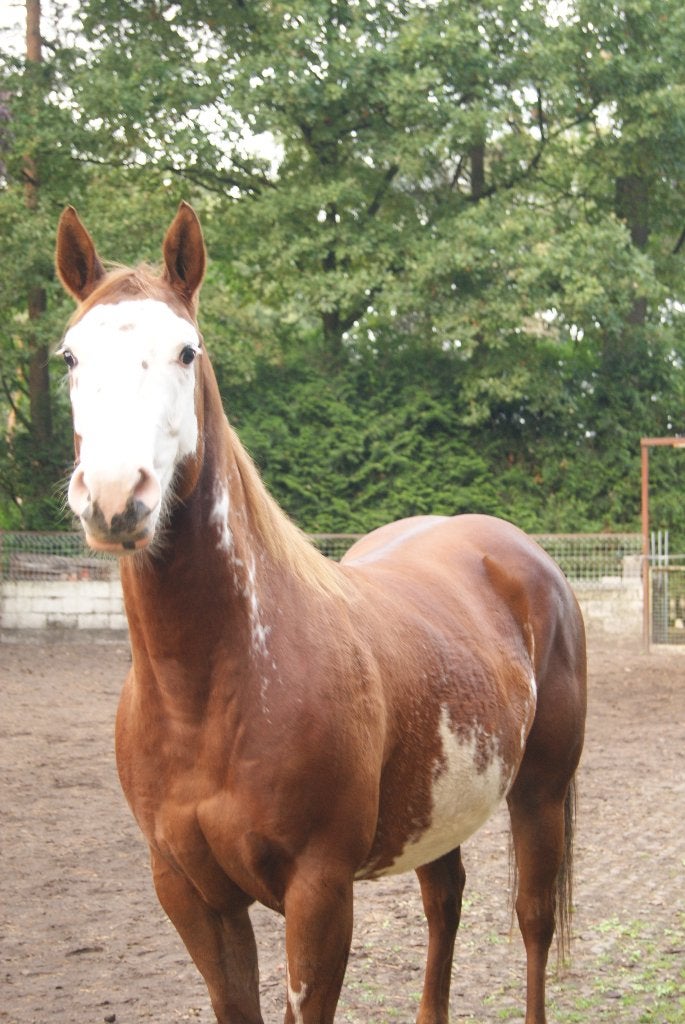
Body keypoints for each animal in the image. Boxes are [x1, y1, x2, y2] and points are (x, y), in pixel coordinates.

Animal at [55, 202, 586, 1024]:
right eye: (71, 356)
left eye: (185, 351)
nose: (116, 496)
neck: (211, 690)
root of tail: (518, 552)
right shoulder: (191, 895)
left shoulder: (319, 894)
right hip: (438, 809)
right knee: (445, 906)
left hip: (540, 793)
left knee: (532, 922)